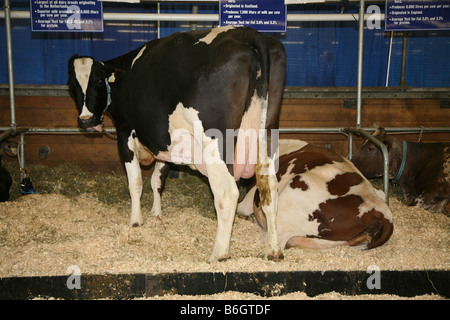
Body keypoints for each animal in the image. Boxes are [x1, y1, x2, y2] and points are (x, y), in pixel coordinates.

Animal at [67, 26, 284, 262]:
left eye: (98, 82)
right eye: (72, 86)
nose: (86, 121)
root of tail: (246, 32)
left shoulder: (125, 134)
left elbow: (135, 183)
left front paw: (136, 221)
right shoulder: (164, 142)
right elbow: (157, 180)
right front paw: (156, 214)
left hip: (215, 139)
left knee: (227, 193)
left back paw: (218, 254)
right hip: (268, 134)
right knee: (269, 188)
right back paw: (273, 250)